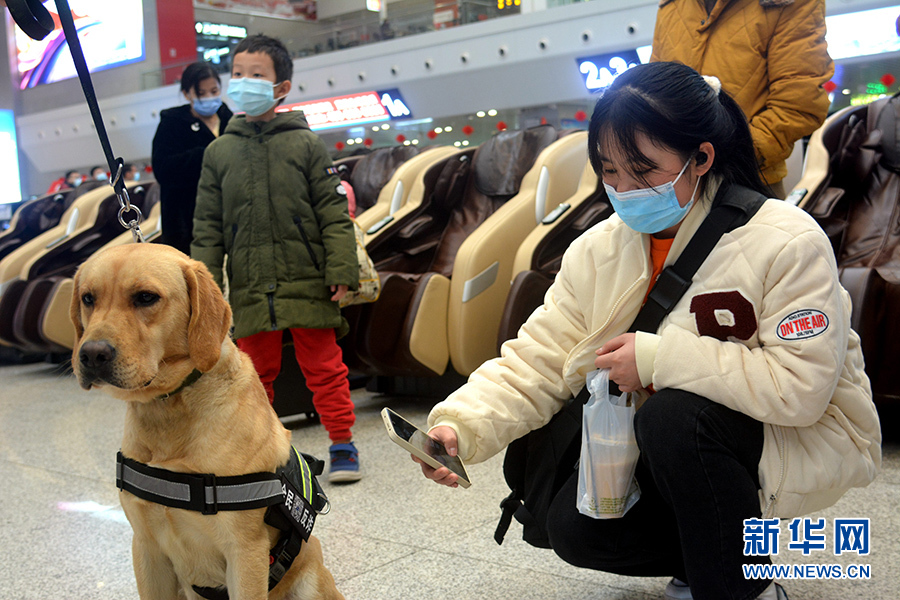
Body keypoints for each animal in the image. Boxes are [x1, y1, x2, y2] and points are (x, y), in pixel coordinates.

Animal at [70, 244, 342, 600]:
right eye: (88, 298)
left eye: (146, 297)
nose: (91, 354)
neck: (170, 409)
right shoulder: (146, 548)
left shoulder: (244, 552)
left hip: (311, 579)